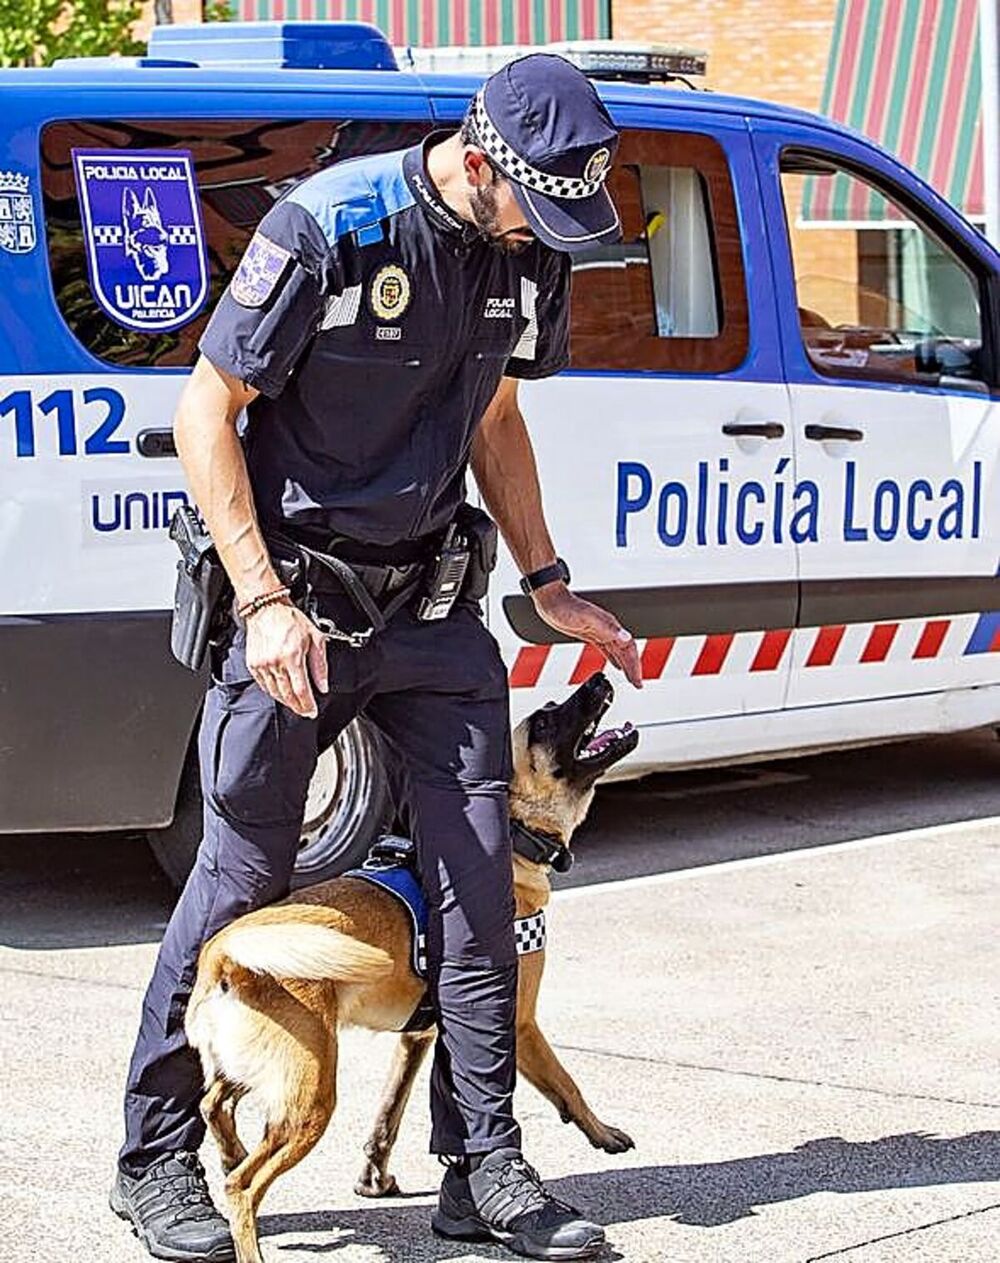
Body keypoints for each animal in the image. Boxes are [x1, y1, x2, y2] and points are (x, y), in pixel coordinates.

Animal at [186, 671, 636, 1263]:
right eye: (543, 721)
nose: (600, 677)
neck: (514, 837)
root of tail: (224, 951)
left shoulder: (419, 1036)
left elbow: (391, 1113)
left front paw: (376, 1177)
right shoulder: (518, 1024)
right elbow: (566, 1083)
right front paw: (602, 1133)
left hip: (264, 1073)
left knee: (212, 1104)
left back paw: (231, 1150)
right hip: (310, 1098)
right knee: (242, 1185)